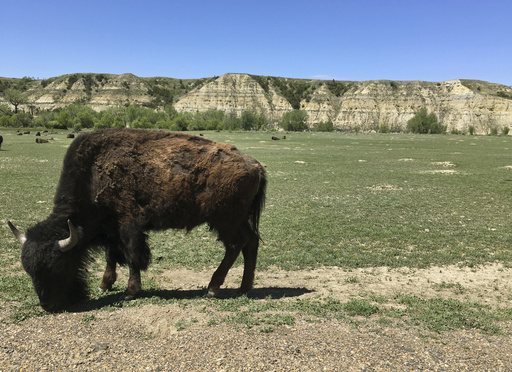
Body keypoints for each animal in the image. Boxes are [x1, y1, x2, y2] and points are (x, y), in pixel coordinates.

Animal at [8, 128, 268, 310]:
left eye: (58, 265)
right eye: (28, 270)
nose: (48, 305)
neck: (92, 174)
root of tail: (256, 165)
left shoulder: (129, 224)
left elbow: (133, 256)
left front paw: (129, 292)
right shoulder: (111, 229)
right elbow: (112, 255)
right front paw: (104, 285)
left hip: (225, 220)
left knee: (236, 245)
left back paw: (213, 288)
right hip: (236, 220)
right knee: (250, 243)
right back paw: (243, 289)